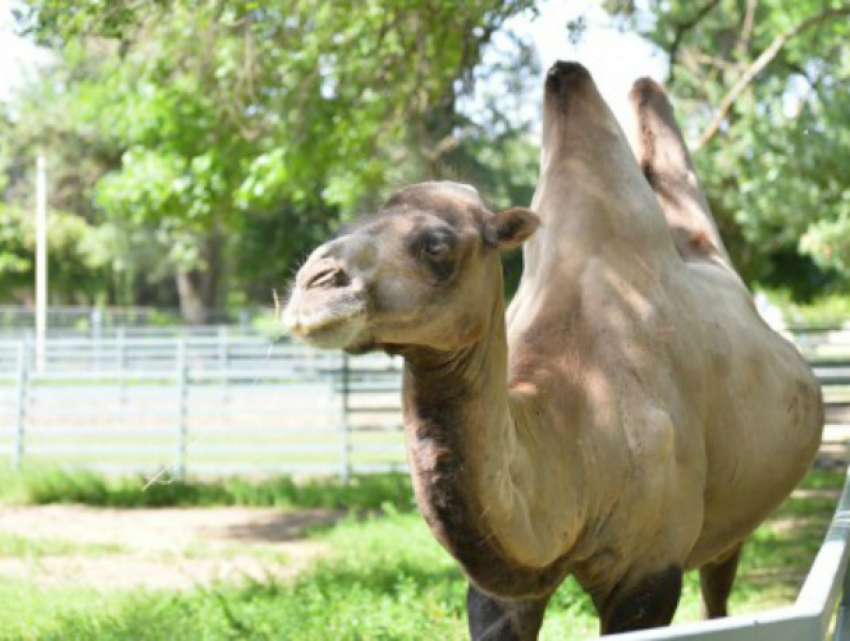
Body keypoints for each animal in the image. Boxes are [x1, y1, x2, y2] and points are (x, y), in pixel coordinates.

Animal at [284, 62, 820, 636]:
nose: (314, 284)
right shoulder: (501, 592)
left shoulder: (650, 573)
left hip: (732, 528)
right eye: (356, 223)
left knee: (718, 591)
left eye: (436, 244)